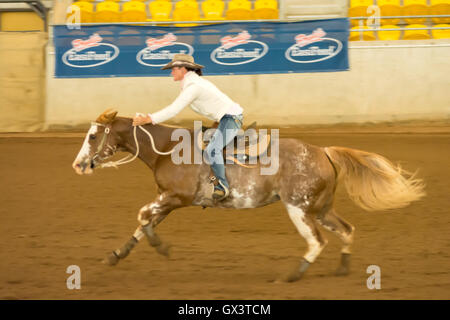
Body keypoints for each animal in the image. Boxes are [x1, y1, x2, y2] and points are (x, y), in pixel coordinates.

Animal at [73, 110, 426, 282]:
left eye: (92, 136)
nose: (78, 165)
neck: (168, 148)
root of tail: (323, 151)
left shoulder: (176, 197)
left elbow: (143, 215)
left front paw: (161, 248)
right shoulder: (167, 199)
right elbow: (145, 221)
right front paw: (117, 254)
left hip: (299, 208)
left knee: (317, 242)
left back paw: (291, 276)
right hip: (322, 208)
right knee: (347, 230)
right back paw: (341, 269)